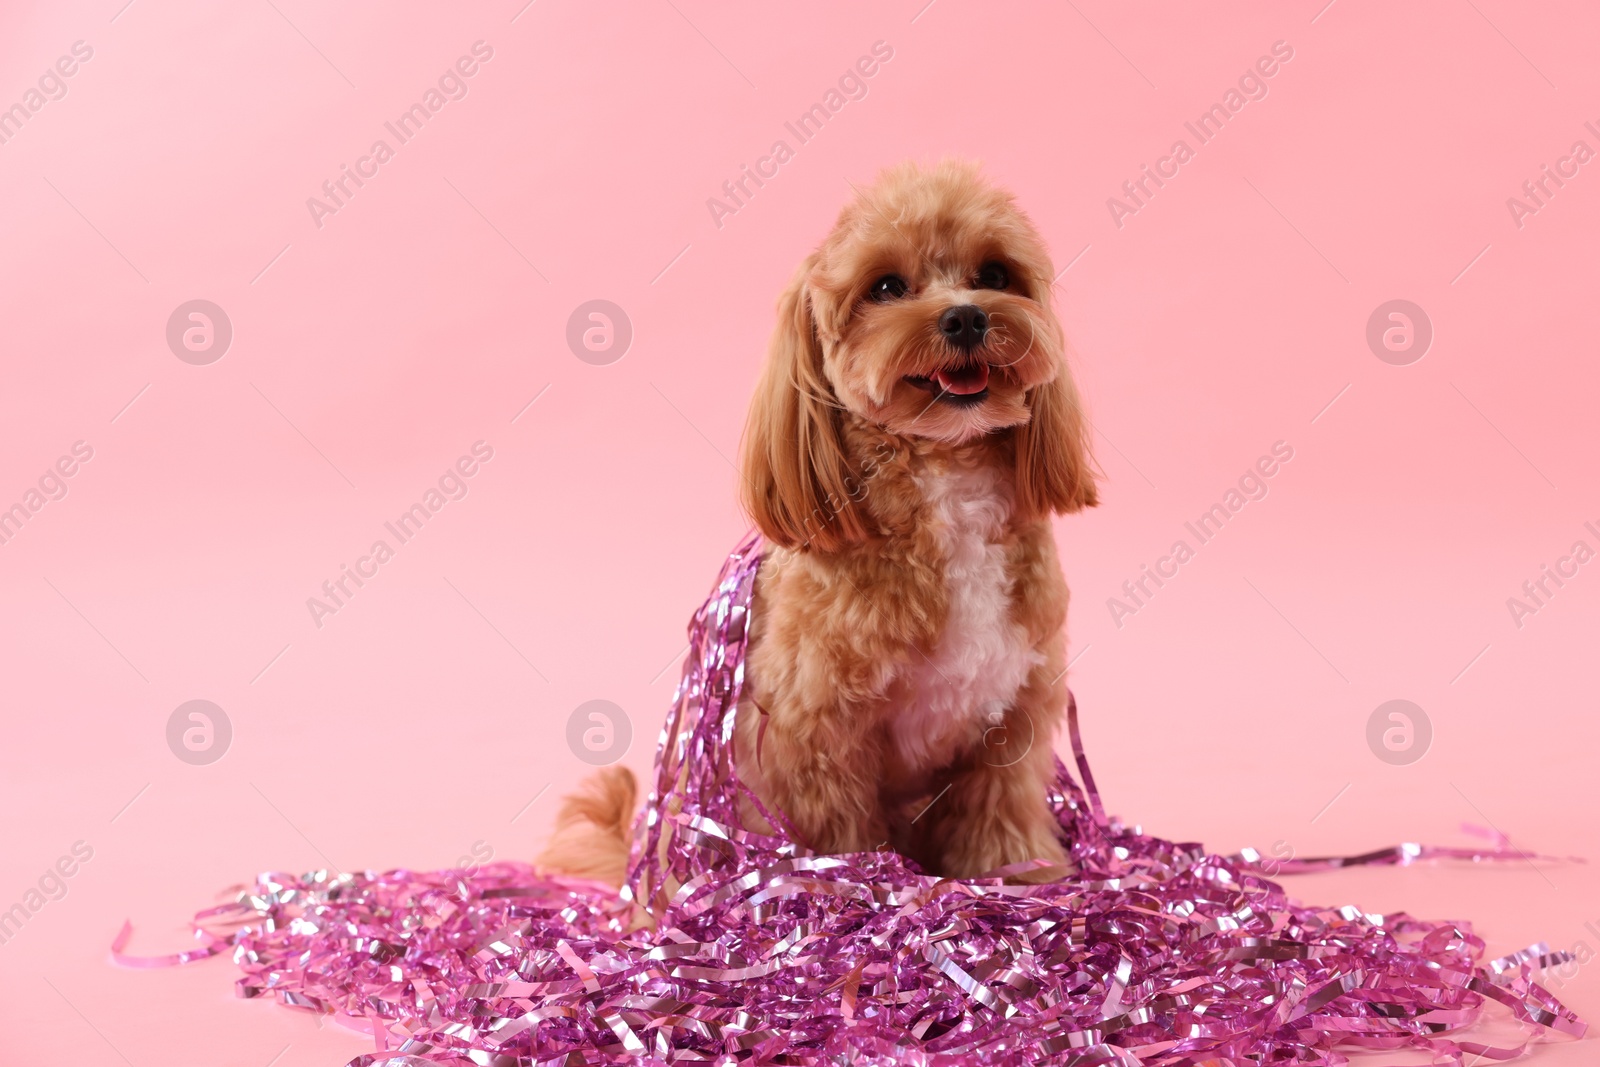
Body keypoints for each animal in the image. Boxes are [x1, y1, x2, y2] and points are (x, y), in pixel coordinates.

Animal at [544, 158, 1094, 889]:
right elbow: (838, 832)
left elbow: (1001, 816)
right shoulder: (814, 731)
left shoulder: (1011, 713)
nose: (967, 316)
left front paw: (1023, 878)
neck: (948, 481)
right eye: (886, 287)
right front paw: (850, 893)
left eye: (996, 274)